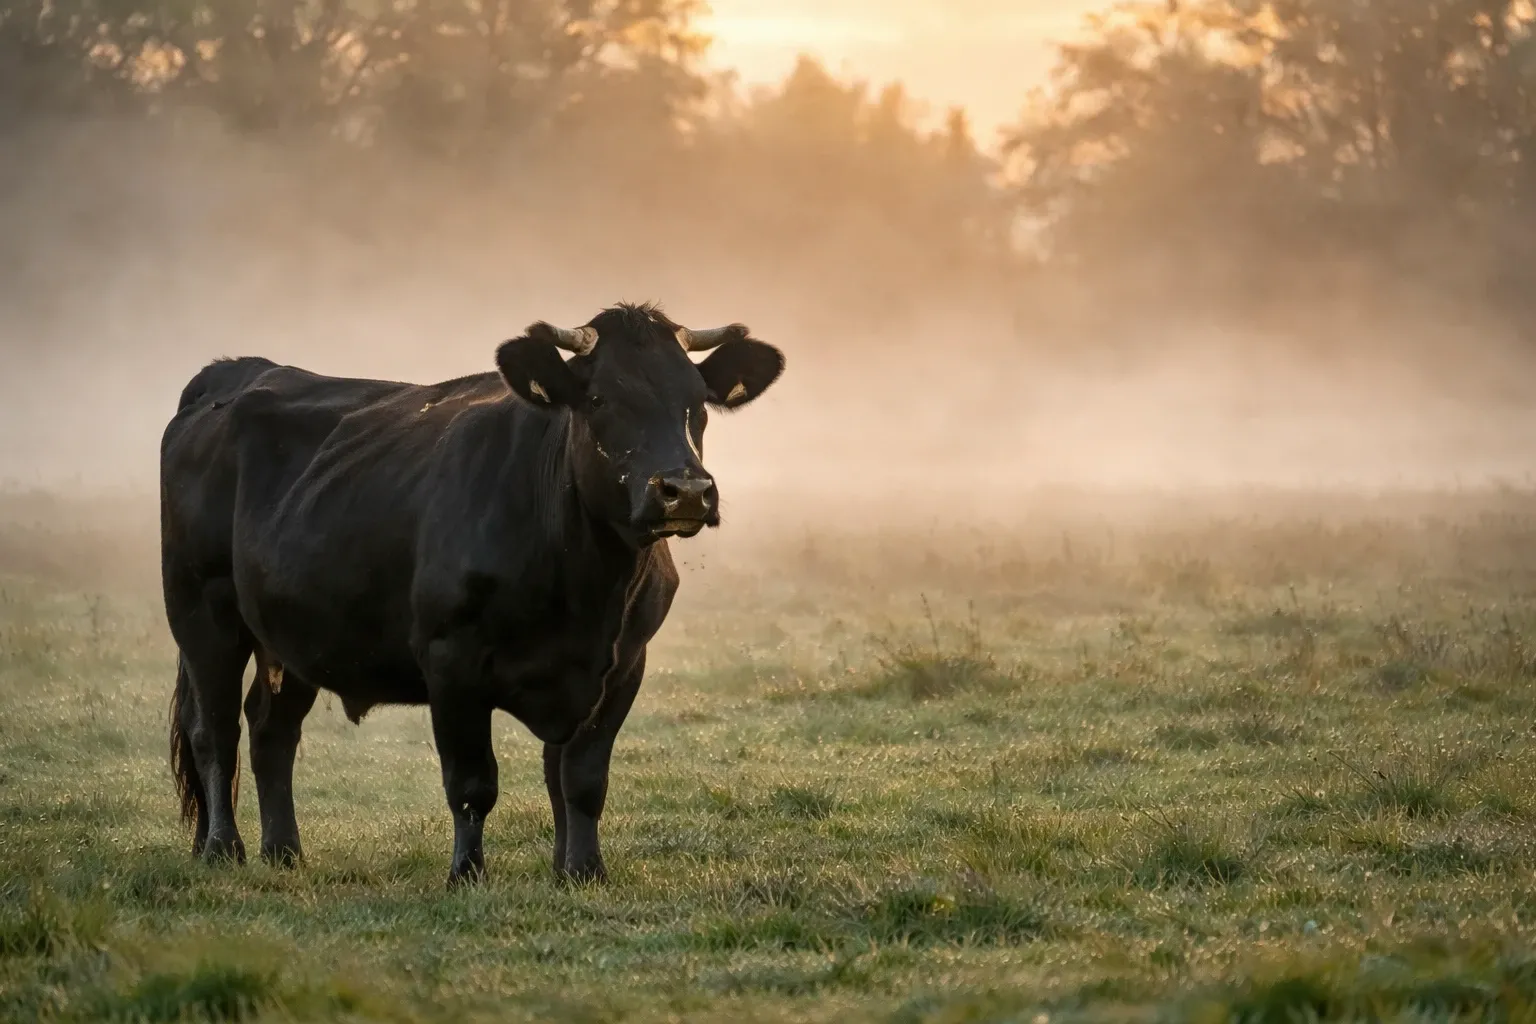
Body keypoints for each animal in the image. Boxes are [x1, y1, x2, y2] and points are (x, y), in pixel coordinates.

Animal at [159, 303, 785, 887]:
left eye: (697, 401)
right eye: (600, 399)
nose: (686, 490)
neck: (585, 590)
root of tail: (237, 371)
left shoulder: (622, 665)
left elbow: (579, 780)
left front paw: (579, 872)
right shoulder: (451, 662)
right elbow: (472, 782)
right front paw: (467, 873)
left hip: (291, 635)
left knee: (272, 730)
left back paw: (283, 852)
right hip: (201, 612)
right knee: (215, 731)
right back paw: (222, 849)